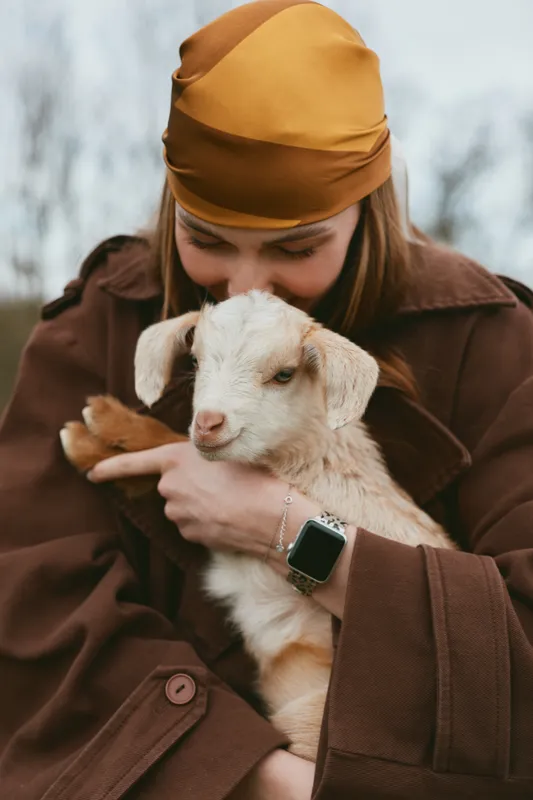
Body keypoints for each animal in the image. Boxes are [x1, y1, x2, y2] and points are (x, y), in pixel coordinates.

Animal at [61, 290, 454, 760]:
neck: (316, 457)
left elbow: (173, 450)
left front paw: (97, 430)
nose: (209, 423)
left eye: (284, 374)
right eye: (195, 361)